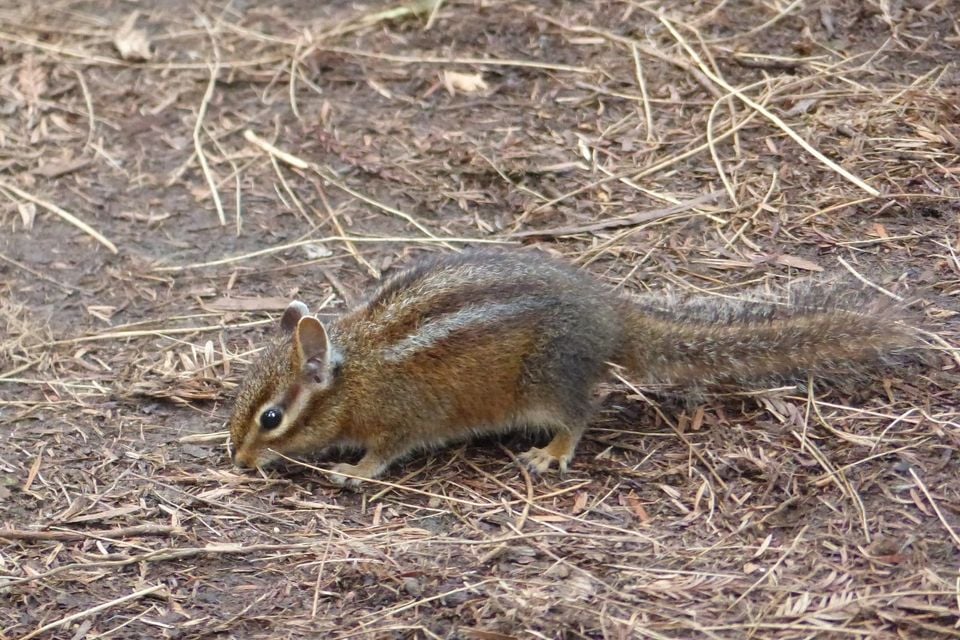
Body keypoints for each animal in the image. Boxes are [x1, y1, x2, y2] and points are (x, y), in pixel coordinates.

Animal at [227, 248, 918, 486]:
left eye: (271, 418)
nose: (238, 461)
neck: (358, 371)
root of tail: (611, 314)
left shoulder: (400, 419)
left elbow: (385, 452)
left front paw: (355, 471)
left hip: (545, 382)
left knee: (583, 412)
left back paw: (553, 452)